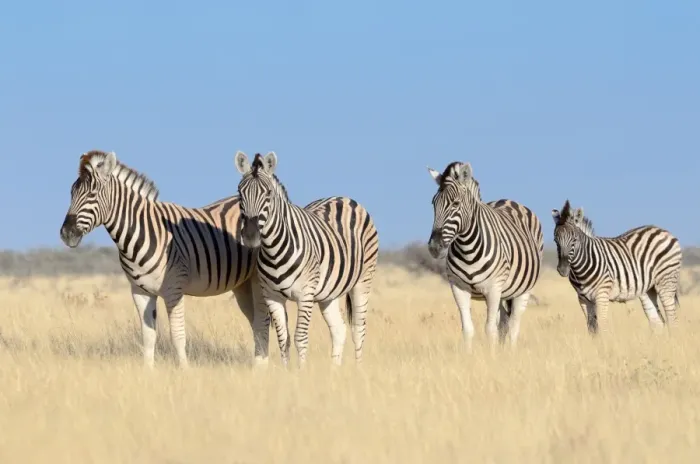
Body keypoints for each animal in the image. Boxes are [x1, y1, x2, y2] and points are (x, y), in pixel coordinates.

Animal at [59, 150, 272, 368]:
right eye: (71, 193)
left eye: (92, 194)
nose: (66, 233)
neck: (141, 233)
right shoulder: (140, 291)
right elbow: (148, 336)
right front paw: (148, 372)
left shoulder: (173, 289)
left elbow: (177, 336)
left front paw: (185, 371)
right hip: (242, 284)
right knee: (255, 321)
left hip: (257, 279)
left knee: (262, 321)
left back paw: (260, 368)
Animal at [233, 151, 379, 367]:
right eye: (239, 194)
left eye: (268, 194)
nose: (251, 236)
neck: (273, 250)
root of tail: (344, 198)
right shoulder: (272, 296)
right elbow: (283, 339)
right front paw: (287, 372)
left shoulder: (306, 294)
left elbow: (299, 338)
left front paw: (301, 372)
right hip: (329, 292)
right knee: (339, 329)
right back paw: (334, 371)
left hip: (363, 281)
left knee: (358, 329)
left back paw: (358, 369)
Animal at [426, 161, 544, 352]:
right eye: (433, 204)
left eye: (455, 204)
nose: (435, 247)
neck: (467, 248)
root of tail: (509, 200)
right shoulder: (458, 288)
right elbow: (468, 329)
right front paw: (469, 356)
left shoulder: (493, 289)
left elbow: (490, 330)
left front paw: (492, 356)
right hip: (503, 293)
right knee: (504, 323)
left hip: (522, 290)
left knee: (514, 325)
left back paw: (511, 352)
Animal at [551, 199, 682, 334]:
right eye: (555, 241)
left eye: (575, 240)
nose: (562, 270)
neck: (580, 270)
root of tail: (662, 230)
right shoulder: (583, 299)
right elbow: (592, 329)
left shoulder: (602, 295)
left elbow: (603, 327)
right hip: (647, 289)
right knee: (657, 322)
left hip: (666, 280)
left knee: (672, 320)